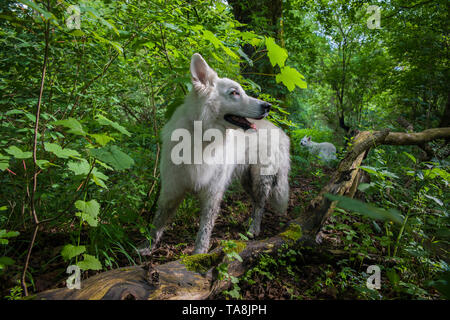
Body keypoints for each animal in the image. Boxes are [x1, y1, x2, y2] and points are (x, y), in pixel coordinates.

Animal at [142, 55, 294, 255]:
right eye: (235, 93)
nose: (268, 106)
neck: (202, 137)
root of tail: (280, 131)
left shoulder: (212, 192)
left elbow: (205, 229)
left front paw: (198, 254)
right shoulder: (172, 188)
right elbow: (158, 221)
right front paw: (146, 247)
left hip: (260, 178)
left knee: (260, 204)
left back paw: (254, 228)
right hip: (247, 180)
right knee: (255, 201)